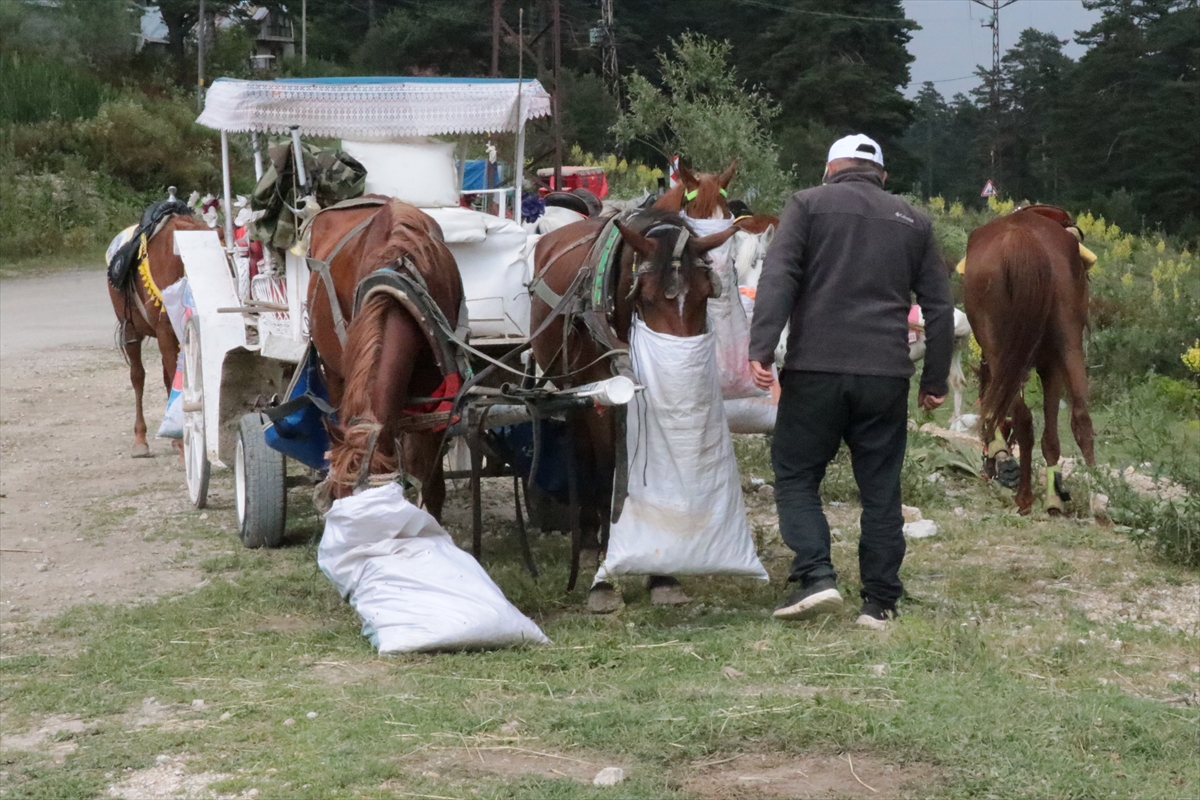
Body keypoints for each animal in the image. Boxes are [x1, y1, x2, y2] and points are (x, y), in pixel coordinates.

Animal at [530, 209, 734, 609]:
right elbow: (610, 472)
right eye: (647, 297)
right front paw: (605, 580)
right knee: (586, 456)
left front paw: (663, 575)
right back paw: (590, 543)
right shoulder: (605, 395)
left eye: (706, 294)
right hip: (574, 391)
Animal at [960, 206, 1094, 515]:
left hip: (1000, 349)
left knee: (1023, 419)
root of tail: (1021, 240)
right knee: (1082, 416)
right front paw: (1054, 497)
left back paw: (1024, 497)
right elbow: (1052, 438)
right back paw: (1099, 497)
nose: (987, 468)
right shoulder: (1050, 365)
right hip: (1068, 342)